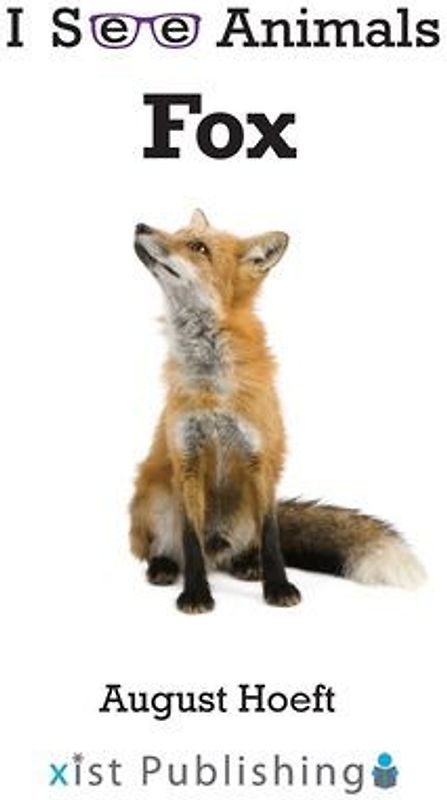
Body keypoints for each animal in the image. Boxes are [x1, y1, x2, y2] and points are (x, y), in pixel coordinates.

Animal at [130, 209, 425, 613]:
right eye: (177, 232)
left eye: (198, 246)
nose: (140, 226)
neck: (213, 384)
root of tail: (219, 547)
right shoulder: (187, 458)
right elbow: (190, 540)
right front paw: (196, 594)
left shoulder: (261, 457)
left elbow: (271, 536)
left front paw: (278, 587)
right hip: (156, 497)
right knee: (169, 548)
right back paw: (164, 566)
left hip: (243, 512)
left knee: (243, 546)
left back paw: (247, 564)